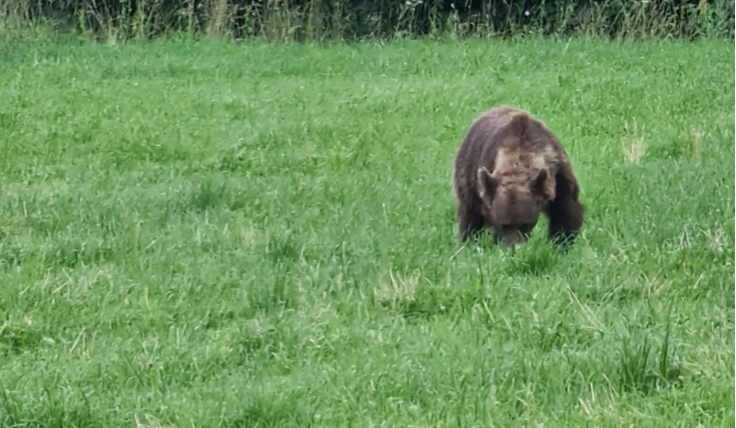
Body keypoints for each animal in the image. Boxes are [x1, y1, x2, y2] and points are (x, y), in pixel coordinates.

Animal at [452, 105, 584, 249]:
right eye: (503, 224)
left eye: (524, 224)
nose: (512, 247)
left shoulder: (558, 175)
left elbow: (565, 212)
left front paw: (561, 243)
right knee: (470, 213)